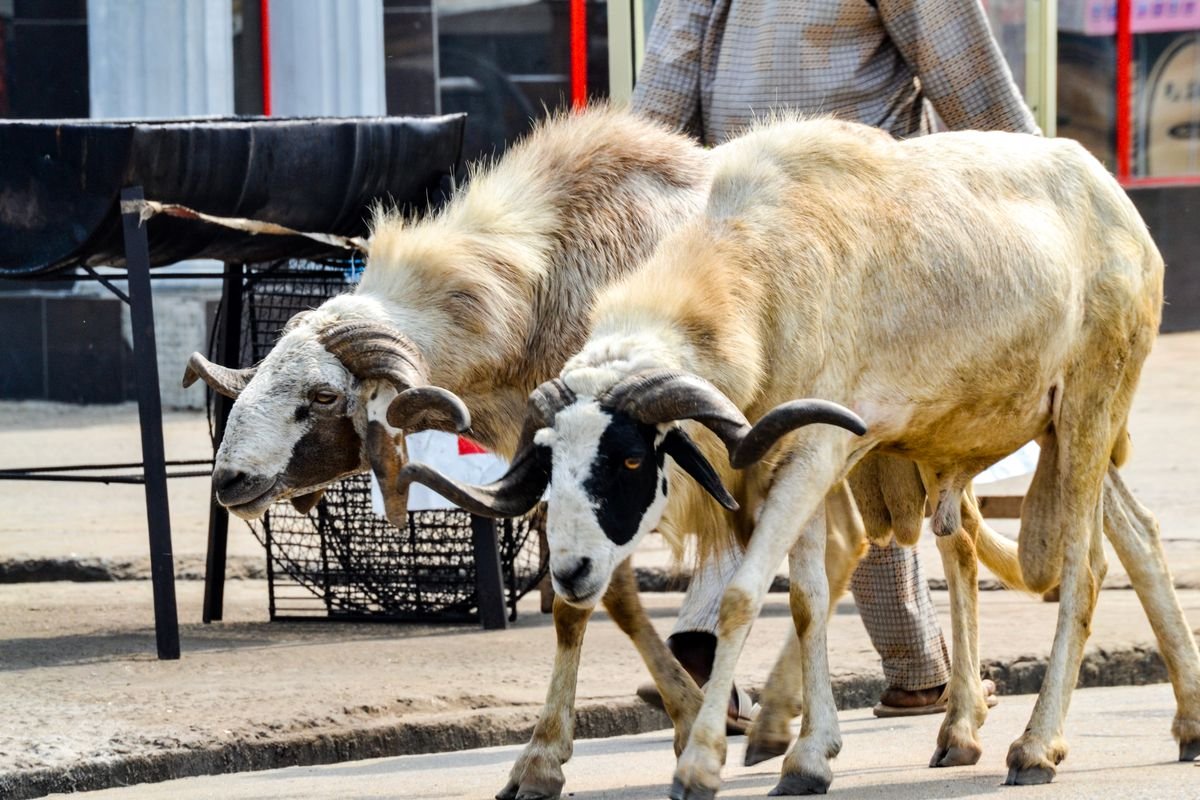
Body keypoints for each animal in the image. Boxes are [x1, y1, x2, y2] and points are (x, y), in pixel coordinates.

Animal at [398, 115, 1200, 797]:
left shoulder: (815, 449)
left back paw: (1035, 747)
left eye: (628, 461)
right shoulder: (787, 461)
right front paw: (807, 758)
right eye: (548, 464)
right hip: (1055, 424)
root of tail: (1111, 194)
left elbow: (745, 595)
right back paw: (1181, 722)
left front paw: (702, 763)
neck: (755, 275)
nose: (568, 572)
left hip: (1091, 407)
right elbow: (810, 600)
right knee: (1139, 537)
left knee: (1083, 573)